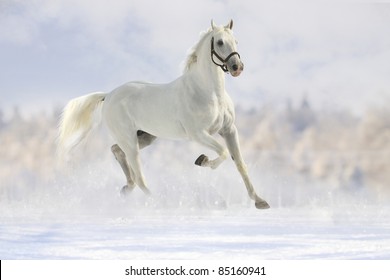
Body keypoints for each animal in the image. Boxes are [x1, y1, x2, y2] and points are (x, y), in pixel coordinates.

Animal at [58, 19, 272, 208]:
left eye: (236, 41)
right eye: (219, 42)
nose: (237, 67)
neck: (208, 92)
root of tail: (108, 95)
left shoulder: (229, 130)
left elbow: (240, 164)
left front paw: (260, 201)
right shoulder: (199, 134)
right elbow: (223, 153)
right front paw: (202, 160)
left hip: (144, 137)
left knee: (117, 152)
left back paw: (127, 188)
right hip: (130, 141)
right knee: (139, 176)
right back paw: (159, 202)